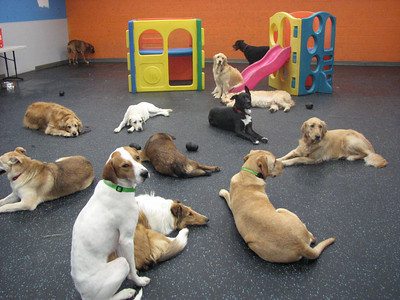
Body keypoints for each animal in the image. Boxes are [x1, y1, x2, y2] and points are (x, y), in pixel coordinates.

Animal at [70, 146, 150, 300]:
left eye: (137, 157)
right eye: (125, 165)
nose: (145, 173)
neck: (118, 188)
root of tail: (83, 294)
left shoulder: (119, 242)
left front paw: (131, 276)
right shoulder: (126, 239)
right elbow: (131, 264)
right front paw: (138, 280)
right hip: (120, 265)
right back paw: (126, 292)